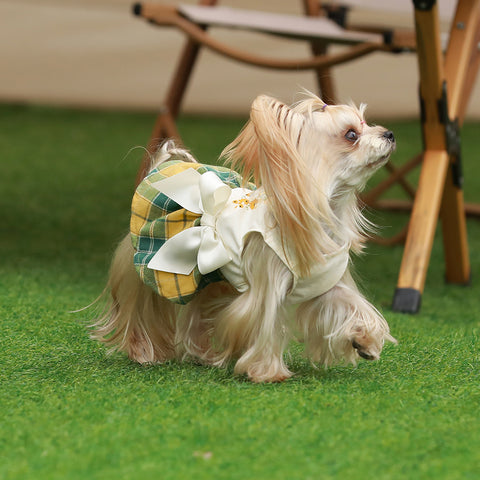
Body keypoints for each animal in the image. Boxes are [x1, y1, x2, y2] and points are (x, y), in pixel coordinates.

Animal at [92, 92, 396, 380]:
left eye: (366, 122)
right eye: (351, 135)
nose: (389, 134)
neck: (319, 220)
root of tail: (158, 167)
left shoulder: (325, 283)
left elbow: (350, 304)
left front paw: (364, 341)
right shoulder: (267, 284)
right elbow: (265, 325)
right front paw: (267, 372)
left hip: (210, 277)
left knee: (197, 312)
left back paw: (202, 354)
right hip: (145, 268)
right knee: (140, 308)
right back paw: (144, 352)